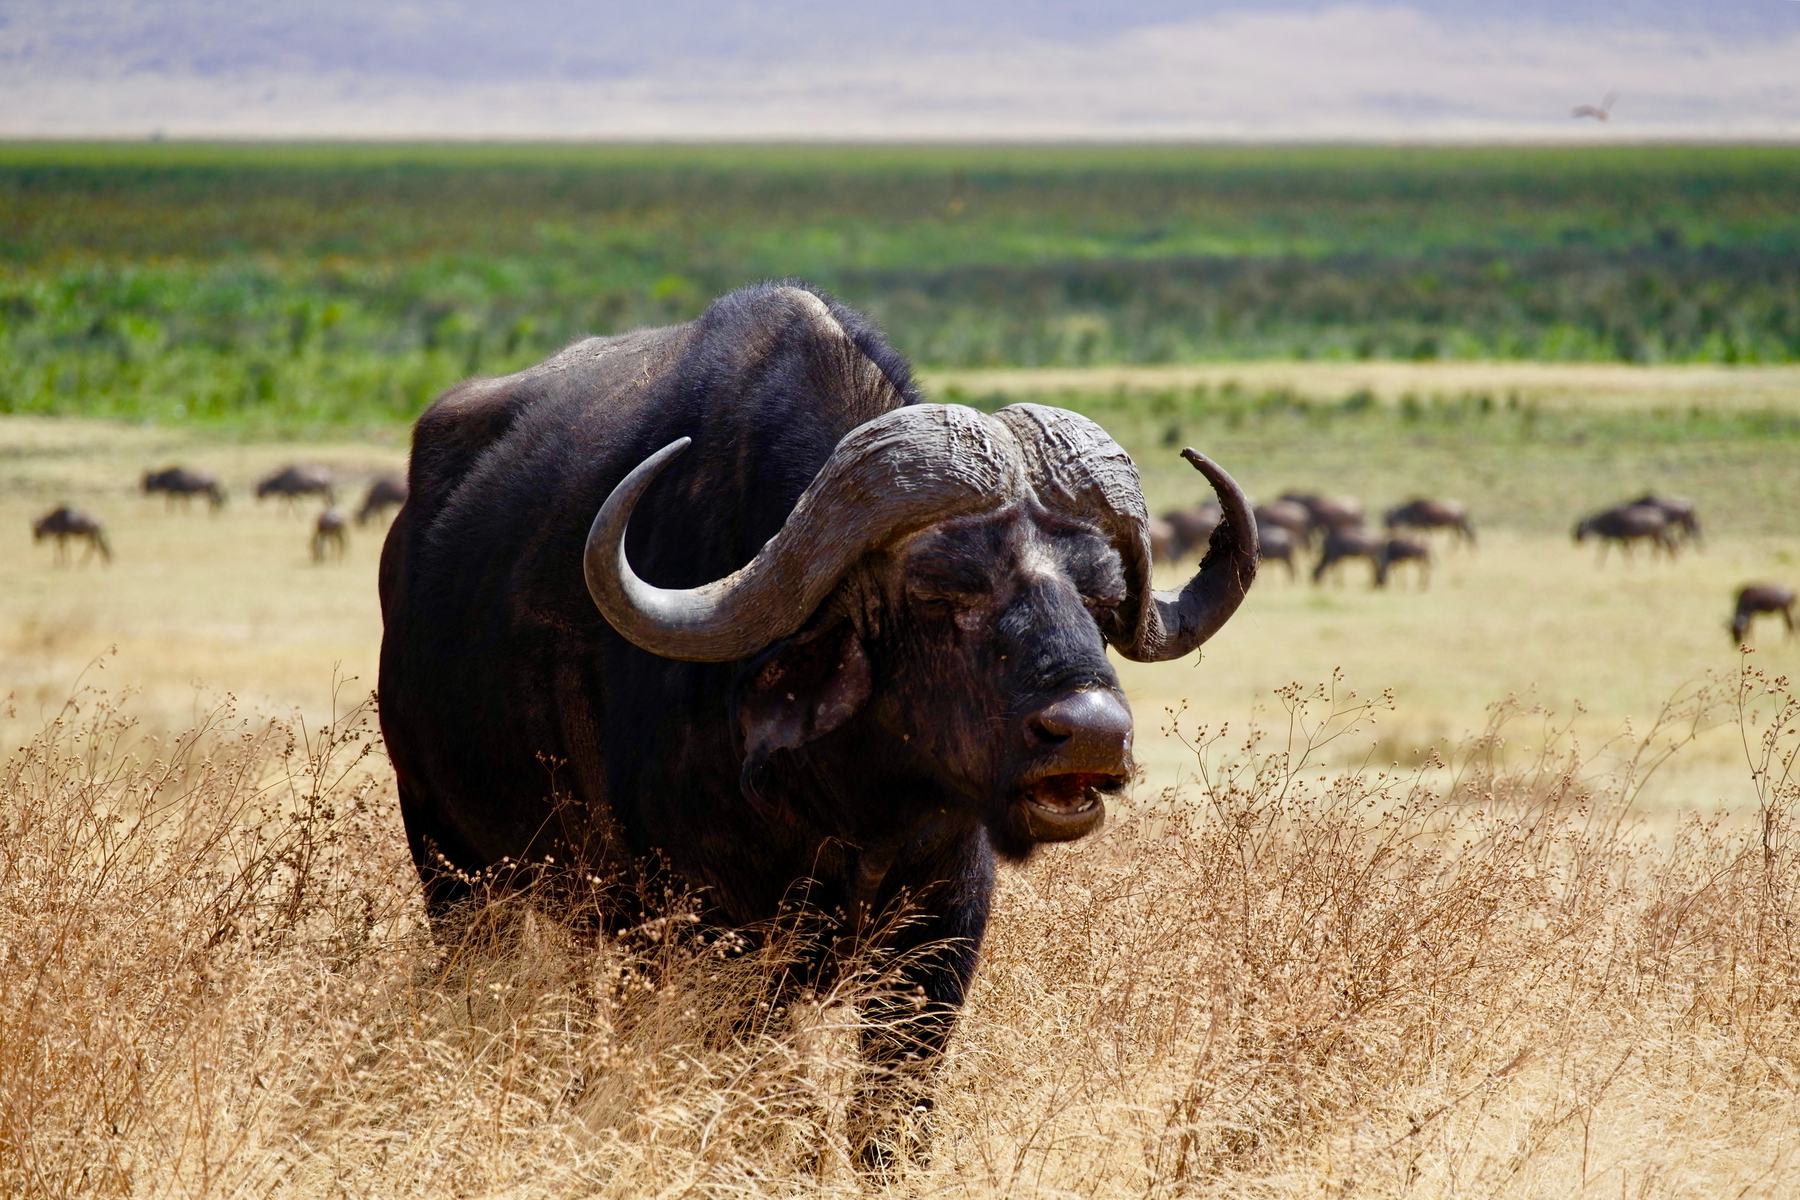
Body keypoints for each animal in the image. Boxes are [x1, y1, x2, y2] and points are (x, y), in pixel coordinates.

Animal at [378, 284, 1257, 1159]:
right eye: (941, 590)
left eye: (1102, 597)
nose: (1093, 733)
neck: (852, 801)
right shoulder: (710, 935)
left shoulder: (943, 932)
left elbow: (892, 1105)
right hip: (453, 865)